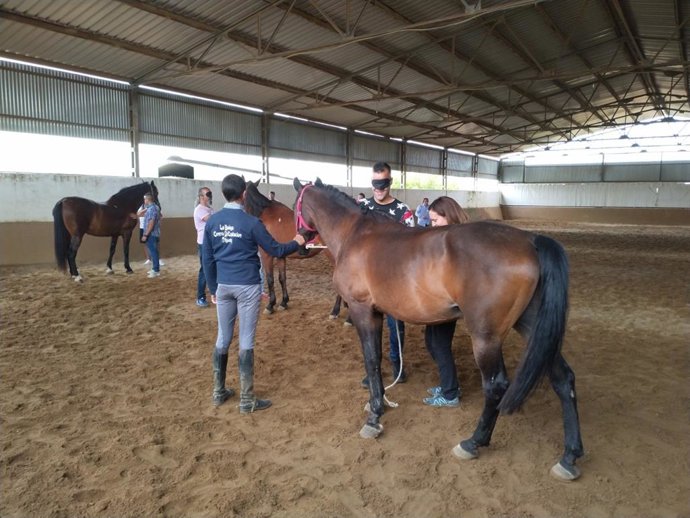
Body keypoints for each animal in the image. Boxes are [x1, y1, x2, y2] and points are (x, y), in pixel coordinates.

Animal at [292, 178, 584, 481]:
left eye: (295, 207)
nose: (299, 243)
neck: (355, 234)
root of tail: (530, 241)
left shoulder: (362, 311)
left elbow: (371, 361)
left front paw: (374, 417)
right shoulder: (377, 313)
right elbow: (379, 359)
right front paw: (380, 402)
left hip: (486, 337)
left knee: (496, 386)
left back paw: (473, 442)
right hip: (533, 326)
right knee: (563, 378)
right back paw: (569, 457)